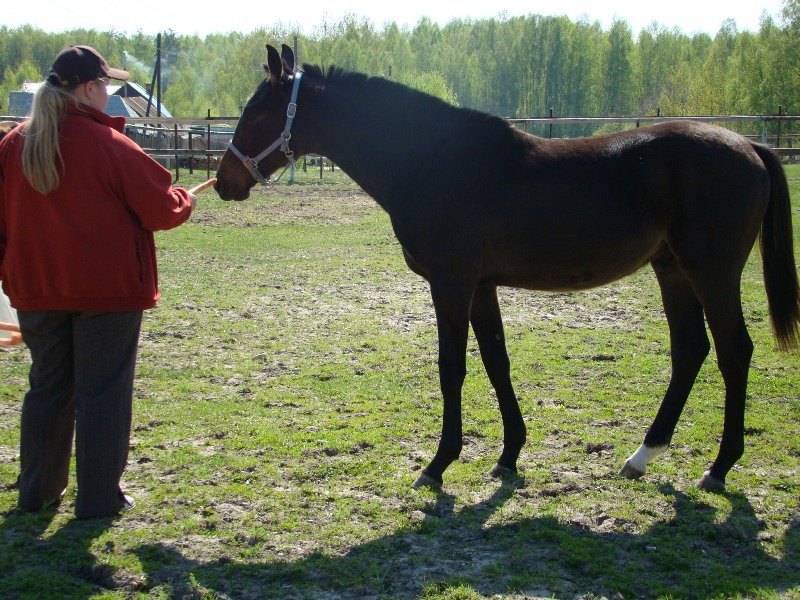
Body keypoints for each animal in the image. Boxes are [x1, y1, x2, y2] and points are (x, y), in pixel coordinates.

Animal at [214, 43, 800, 492]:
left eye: (258, 112)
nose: (223, 182)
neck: (435, 162)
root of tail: (750, 143)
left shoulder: (451, 285)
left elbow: (452, 369)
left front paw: (437, 465)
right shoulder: (481, 287)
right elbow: (497, 362)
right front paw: (508, 455)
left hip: (712, 273)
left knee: (733, 352)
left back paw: (719, 468)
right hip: (672, 269)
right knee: (690, 351)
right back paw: (641, 457)